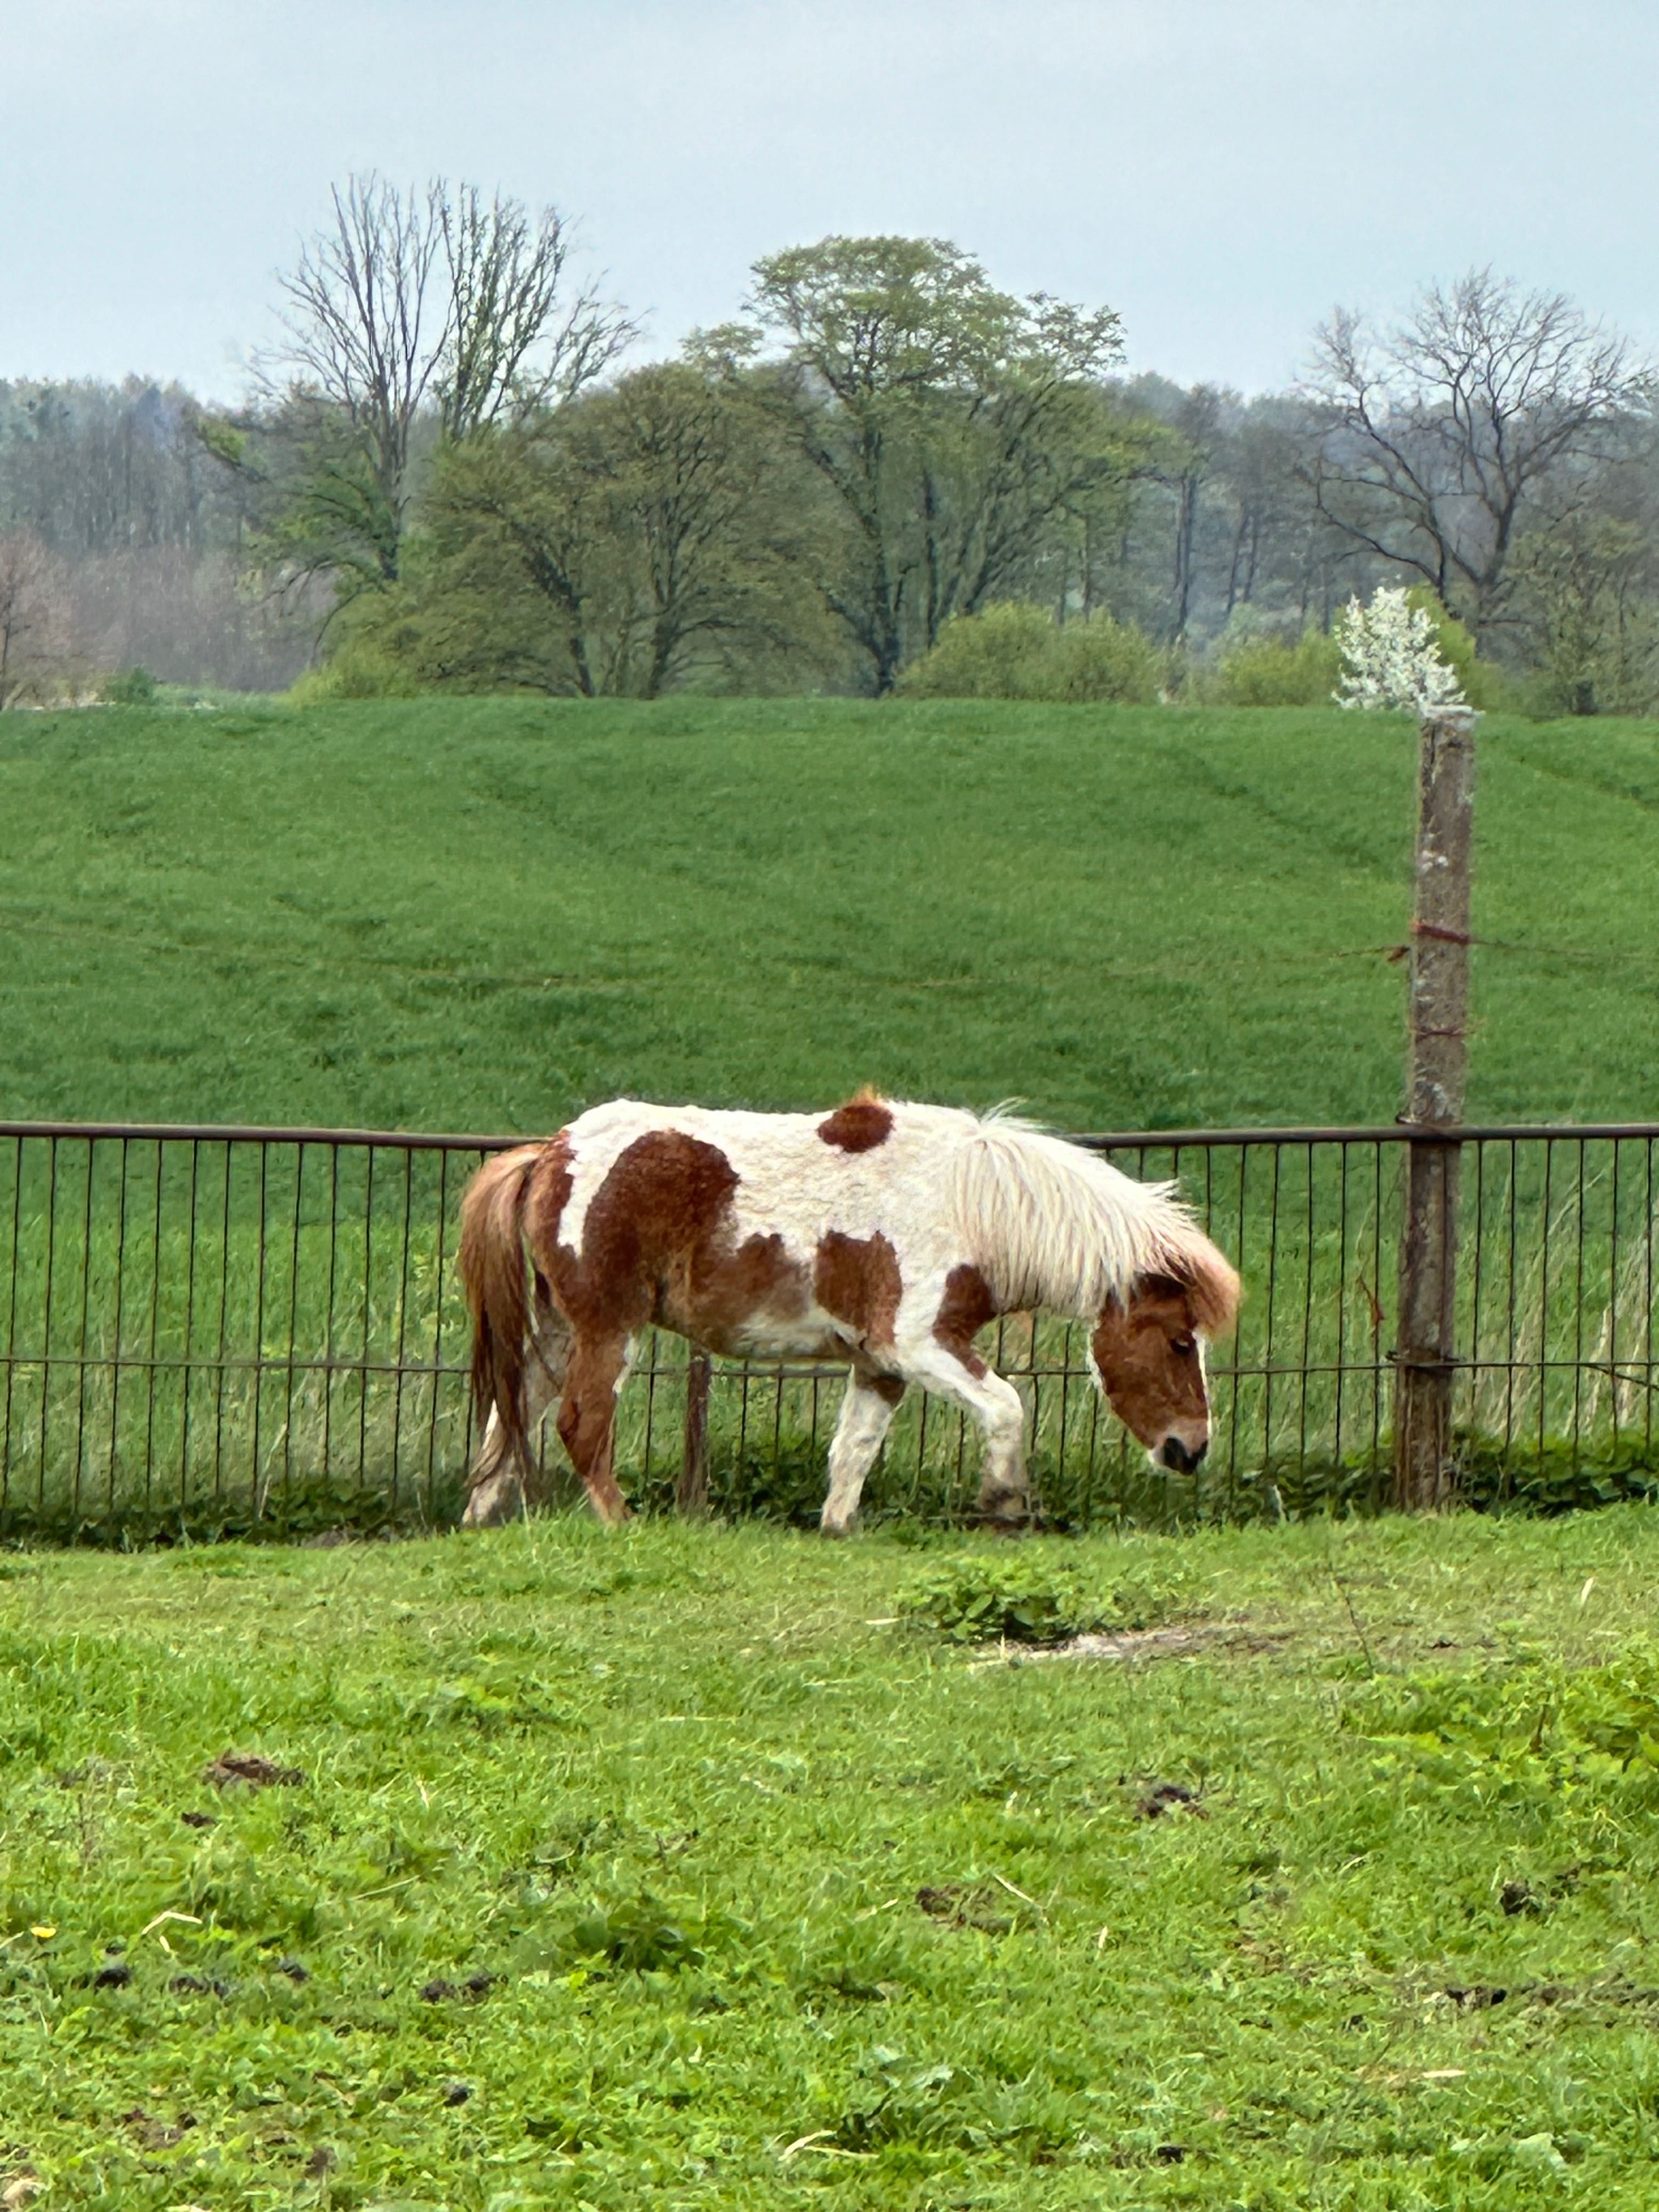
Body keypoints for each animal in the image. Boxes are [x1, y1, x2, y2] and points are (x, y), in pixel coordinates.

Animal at [462, 1092, 1238, 1539]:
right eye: (1178, 1342)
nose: (1192, 1448)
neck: (971, 1204)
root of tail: (552, 1152)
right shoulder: (920, 1345)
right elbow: (1007, 1406)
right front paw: (1005, 1502)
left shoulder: (880, 1364)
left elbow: (854, 1451)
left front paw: (837, 1529)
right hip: (608, 1328)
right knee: (580, 1424)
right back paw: (620, 1524)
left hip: (559, 1330)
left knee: (511, 1416)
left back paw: (476, 1521)